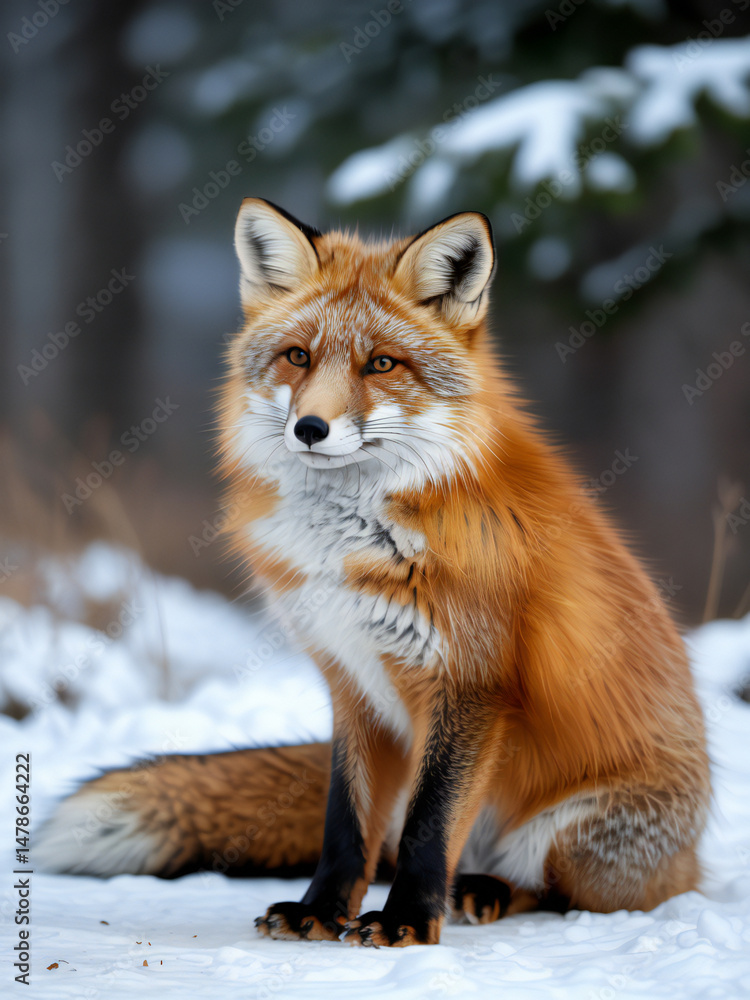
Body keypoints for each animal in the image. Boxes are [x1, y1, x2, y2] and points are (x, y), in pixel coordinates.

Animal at [37, 199, 710, 947]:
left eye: (381, 363)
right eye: (298, 356)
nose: (309, 428)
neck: (353, 545)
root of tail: (695, 857)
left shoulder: (471, 683)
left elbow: (428, 824)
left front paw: (407, 922)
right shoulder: (351, 679)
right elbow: (346, 821)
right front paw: (321, 910)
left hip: (577, 833)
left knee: (552, 890)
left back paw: (482, 891)